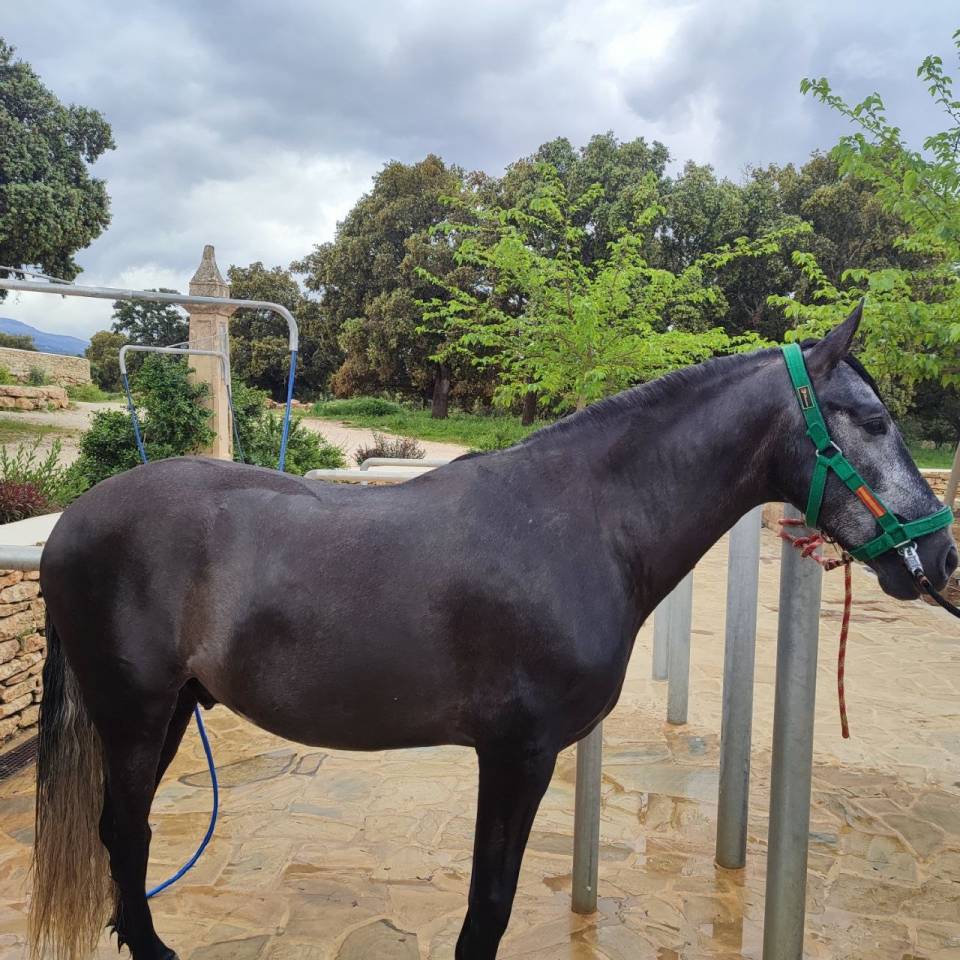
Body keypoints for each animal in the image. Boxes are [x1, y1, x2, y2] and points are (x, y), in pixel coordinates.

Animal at [29, 303, 956, 960]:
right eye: (872, 420)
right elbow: (489, 907)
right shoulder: (519, 753)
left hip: (172, 710)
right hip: (137, 714)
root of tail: (73, 520)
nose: (942, 556)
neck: (585, 522)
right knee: (126, 835)